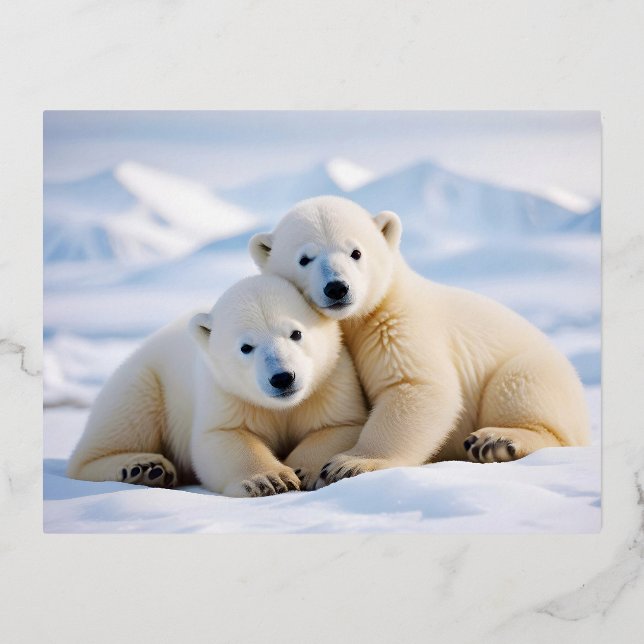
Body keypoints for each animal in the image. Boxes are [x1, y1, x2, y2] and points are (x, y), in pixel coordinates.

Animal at [66, 274, 367, 497]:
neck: (283, 406)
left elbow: (339, 425)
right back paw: (143, 467)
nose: (283, 377)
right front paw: (269, 480)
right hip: (144, 379)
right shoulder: (224, 391)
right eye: (246, 347)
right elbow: (224, 435)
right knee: (121, 422)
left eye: (296, 333)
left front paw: (304, 470)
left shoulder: (330, 380)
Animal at [249, 195, 591, 486]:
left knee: (519, 384)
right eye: (304, 258)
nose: (337, 287)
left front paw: (351, 463)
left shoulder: (397, 324)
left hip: (540, 373)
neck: (355, 320)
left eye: (356, 252)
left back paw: (495, 441)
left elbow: (415, 386)